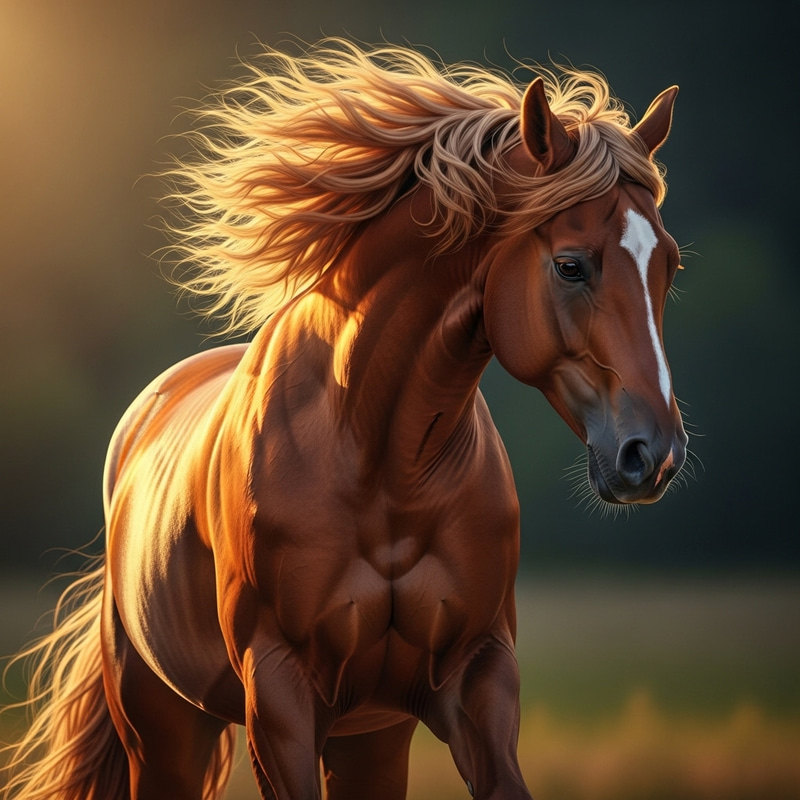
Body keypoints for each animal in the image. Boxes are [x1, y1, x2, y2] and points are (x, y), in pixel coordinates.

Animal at [1, 40, 687, 800]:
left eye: (669, 267)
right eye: (570, 266)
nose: (651, 454)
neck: (382, 464)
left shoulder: (475, 676)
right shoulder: (280, 696)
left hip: (370, 739)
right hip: (163, 731)